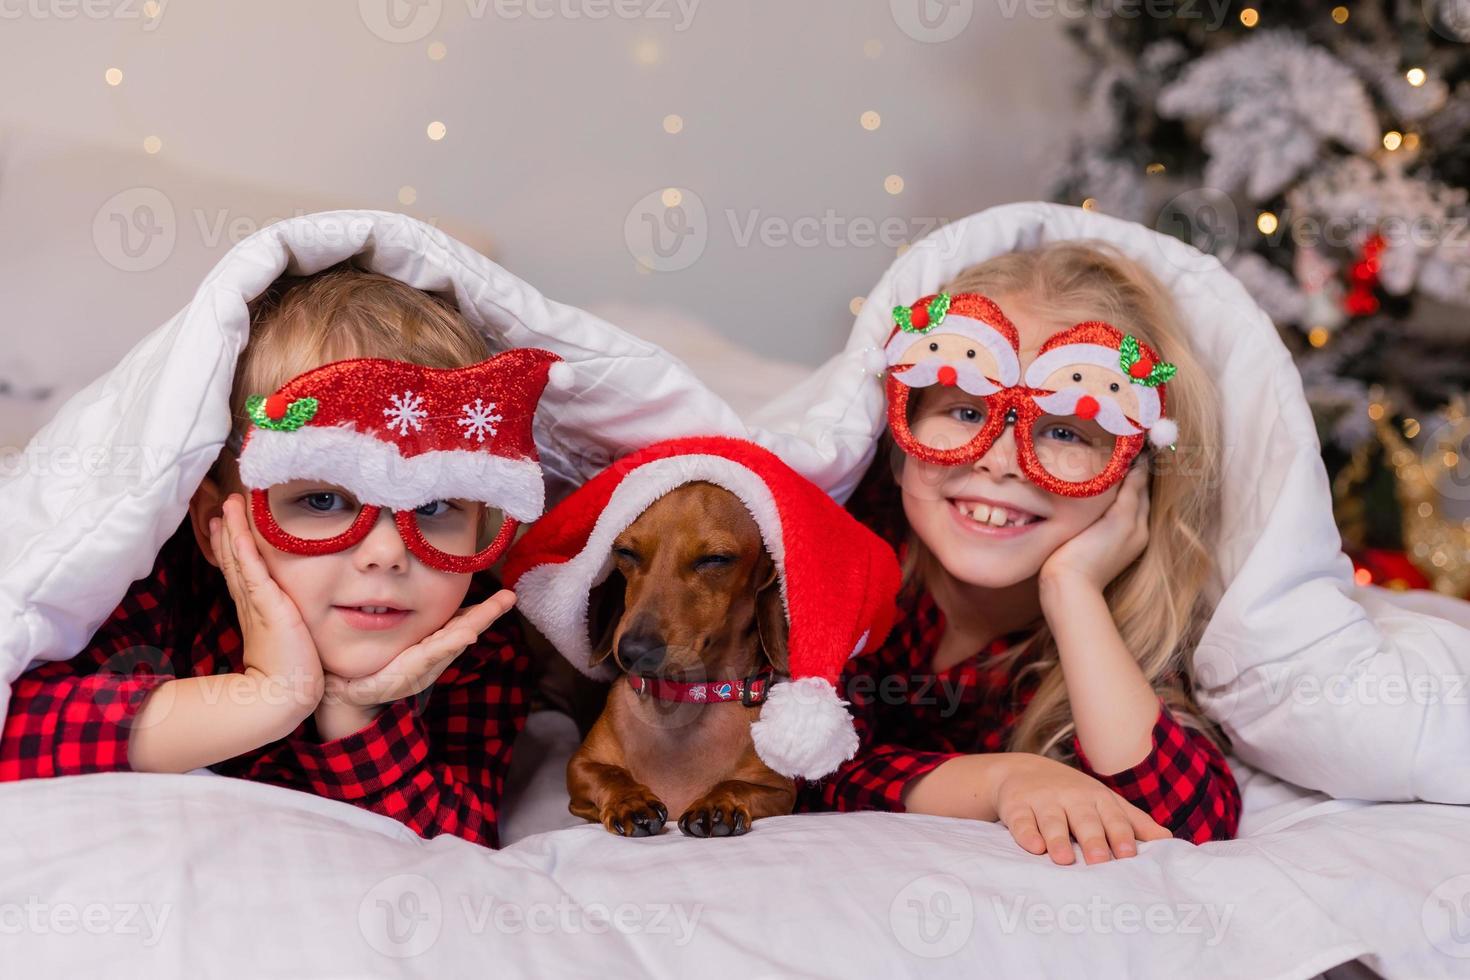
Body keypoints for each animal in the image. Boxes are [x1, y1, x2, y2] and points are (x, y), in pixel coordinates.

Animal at [564, 481, 793, 834]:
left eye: (716, 559)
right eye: (625, 552)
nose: (634, 651)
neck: (685, 698)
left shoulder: (782, 790)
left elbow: (737, 784)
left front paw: (718, 803)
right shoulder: (580, 765)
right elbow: (609, 773)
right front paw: (630, 800)